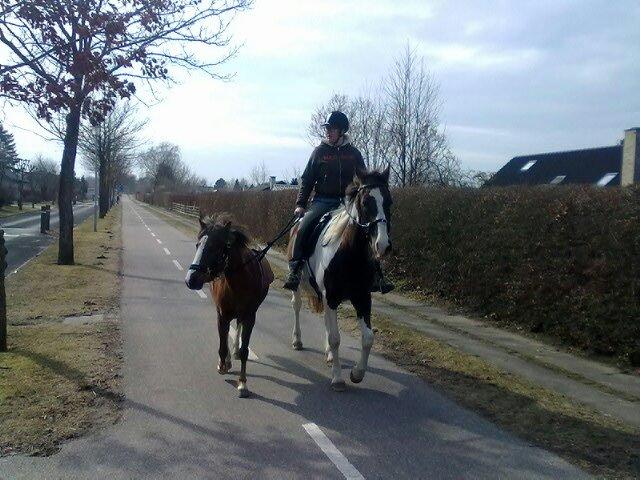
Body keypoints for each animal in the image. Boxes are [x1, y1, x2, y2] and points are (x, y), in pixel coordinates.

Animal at [186, 214, 274, 398]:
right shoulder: (222, 314)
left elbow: (245, 350)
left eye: (214, 247)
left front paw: (242, 383)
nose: (191, 279)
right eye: (198, 245)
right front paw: (222, 365)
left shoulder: (250, 317)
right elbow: (222, 342)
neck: (239, 282)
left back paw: (234, 352)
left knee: (238, 327)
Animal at [288, 167, 390, 392]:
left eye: (389, 201)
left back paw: (328, 355)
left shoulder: (362, 298)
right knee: (297, 307)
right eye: (365, 202)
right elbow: (336, 338)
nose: (383, 245)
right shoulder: (332, 297)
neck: (349, 253)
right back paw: (297, 341)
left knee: (327, 321)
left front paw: (357, 374)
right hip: (300, 287)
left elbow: (368, 338)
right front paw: (337, 378)